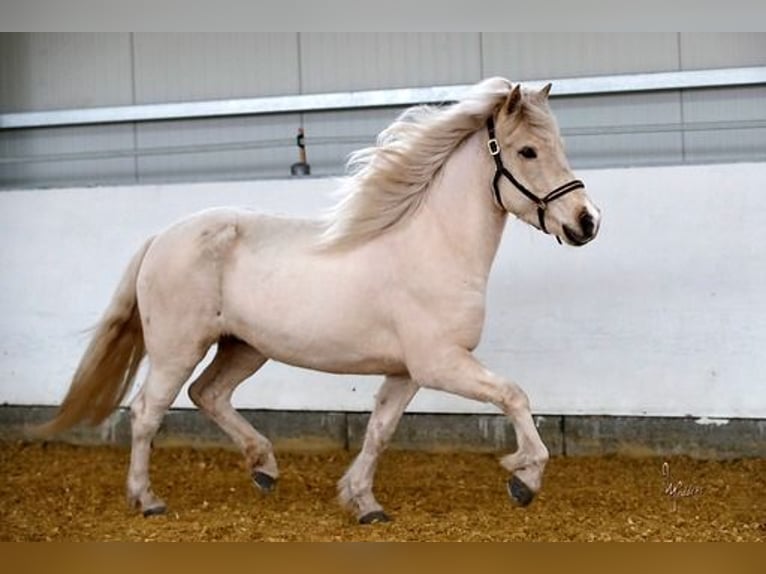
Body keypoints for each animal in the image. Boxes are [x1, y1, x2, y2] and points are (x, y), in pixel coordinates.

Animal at [39, 77, 601, 524]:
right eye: (528, 151)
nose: (587, 222)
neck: (435, 246)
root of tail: (162, 237)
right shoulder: (441, 363)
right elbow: (514, 396)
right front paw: (523, 478)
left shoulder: (407, 372)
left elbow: (380, 430)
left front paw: (363, 502)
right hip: (178, 348)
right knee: (146, 412)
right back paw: (148, 499)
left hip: (244, 347)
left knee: (209, 394)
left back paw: (264, 468)